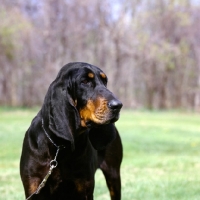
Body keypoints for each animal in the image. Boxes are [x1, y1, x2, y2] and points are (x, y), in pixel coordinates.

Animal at [20, 61, 123, 199]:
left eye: (105, 81)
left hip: (113, 174)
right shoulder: (33, 186)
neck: (60, 146)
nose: (118, 105)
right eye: (85, 81)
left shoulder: (84, 187)